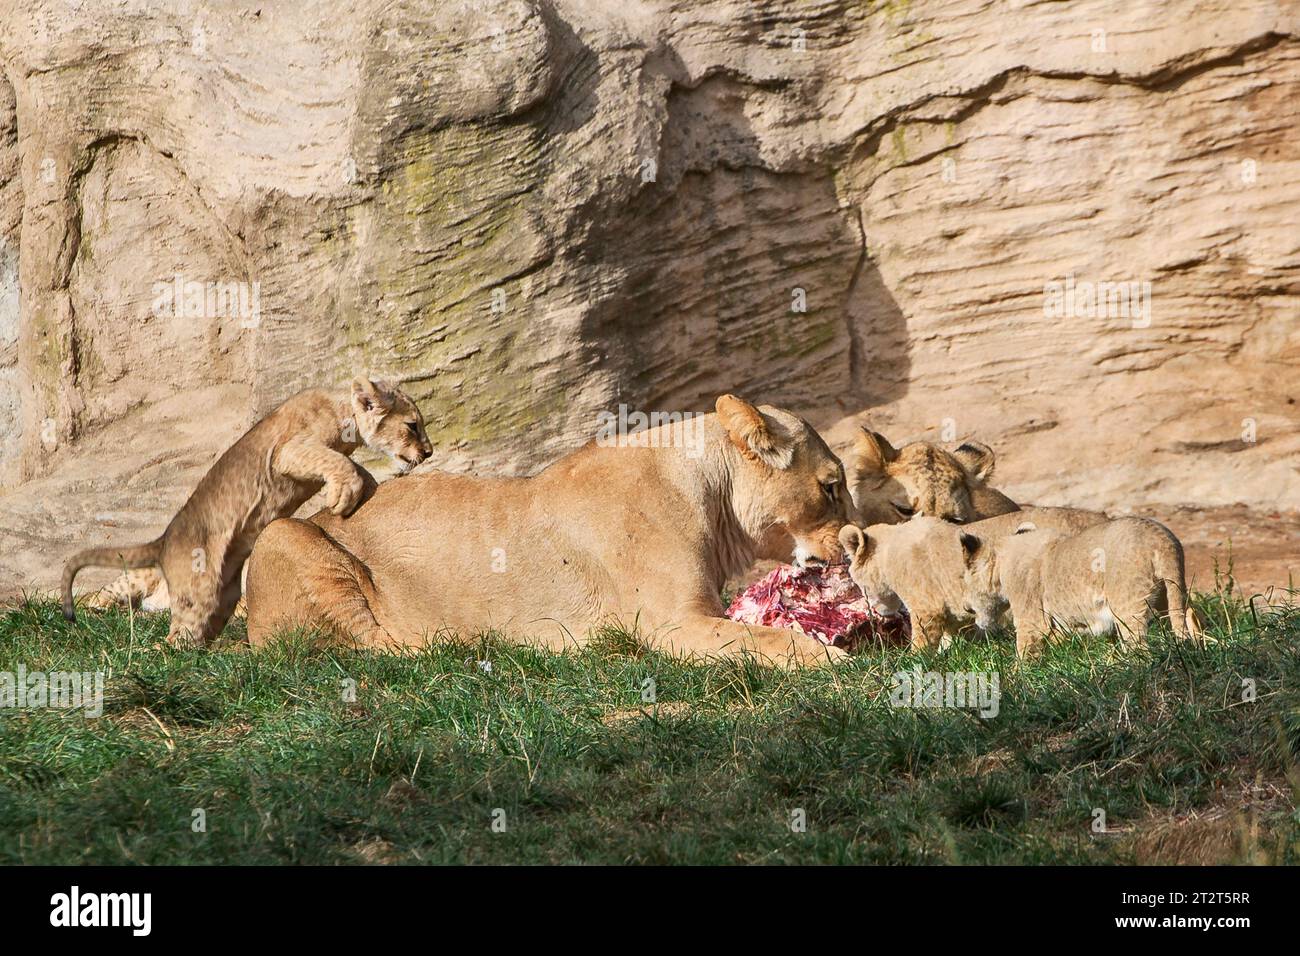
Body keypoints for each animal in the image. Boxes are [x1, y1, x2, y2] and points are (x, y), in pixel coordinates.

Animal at [62, 378, 431, 647]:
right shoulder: (289, 451)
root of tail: (164, 539)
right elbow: (339, 462)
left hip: (225, 595)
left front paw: (361, 486)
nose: (429, 452)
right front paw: (345, 493)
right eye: (413, 426)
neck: (343, 410)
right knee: (163, 629)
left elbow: (353, 465)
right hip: (194, 587)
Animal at [243, 394, 851, 668]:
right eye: (832, 486)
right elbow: (765, 638)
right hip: (282, 535)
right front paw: (837, 661)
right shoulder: (669, 624)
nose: (853, 541)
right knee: (366, 648)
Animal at [959, 516, 1198, 656]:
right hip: (1170, 591)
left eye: (964, 579)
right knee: (1186, 614)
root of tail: (1163, 540)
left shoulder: (1031, 621)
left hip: (1128, 604)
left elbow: (1024, 654)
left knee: (1138, 643)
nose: (966, 608)